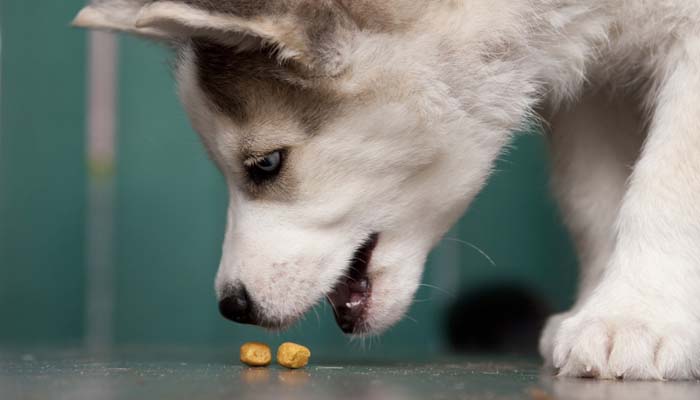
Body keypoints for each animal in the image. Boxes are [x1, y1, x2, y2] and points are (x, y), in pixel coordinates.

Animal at [74, 0, 700, 382]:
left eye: (266, 164)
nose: (233, 306)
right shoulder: (593, 85)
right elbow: (591, 199)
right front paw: (599, 307)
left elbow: (668, 180)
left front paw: (633, 317)